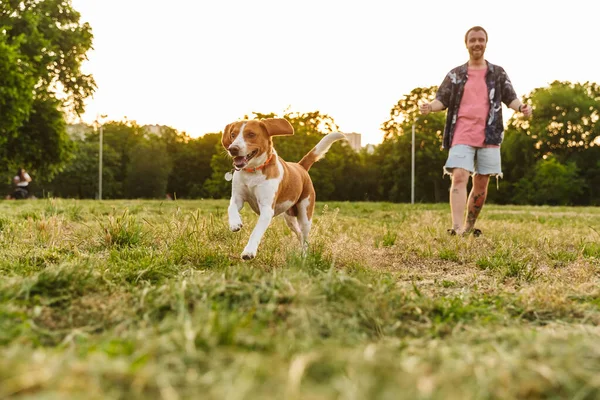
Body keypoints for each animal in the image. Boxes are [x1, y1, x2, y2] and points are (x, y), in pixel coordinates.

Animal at [221, 118, 344, 260]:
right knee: (299, 234)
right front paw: (235, 223)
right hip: (289, 218)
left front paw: (249, 252)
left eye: (251, 134)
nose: (233, 149)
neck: (253, 172)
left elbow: (256, 232)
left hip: (305, 215)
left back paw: (304, 257)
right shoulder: (238, 198)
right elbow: (231, 207)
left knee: (305, 238)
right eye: (233, 135)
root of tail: (300, 166)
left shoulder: (267, 209)